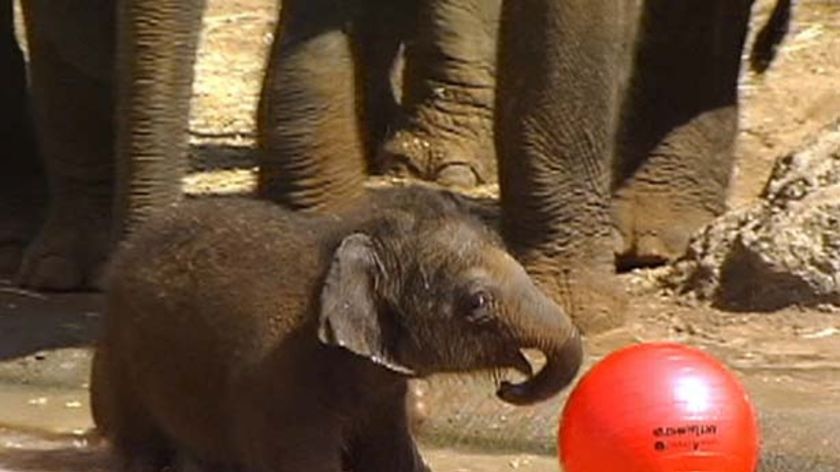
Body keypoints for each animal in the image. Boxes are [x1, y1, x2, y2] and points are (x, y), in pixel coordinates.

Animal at [88, 187, 580, 472]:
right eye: (476, 303)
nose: (509, 387)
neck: (345, 236)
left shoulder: (382, 395)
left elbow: (394, 460)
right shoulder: (278, 385)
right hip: (124, 363)